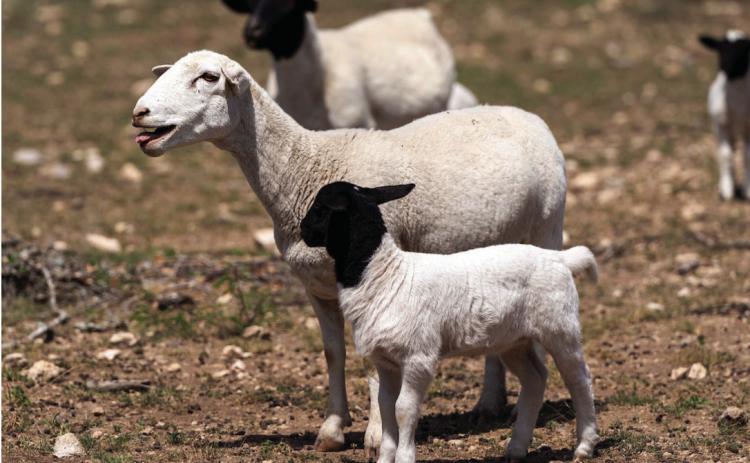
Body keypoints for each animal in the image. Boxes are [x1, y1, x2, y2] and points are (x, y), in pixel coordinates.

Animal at [131, 50, 567, 454]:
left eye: (208, 78)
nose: (139, 114)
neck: (305, 169)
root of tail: (528, 116)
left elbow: (371, 363)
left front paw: (376, 436)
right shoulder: (316, 287)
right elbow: (333, 353)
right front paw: (331, 431)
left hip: (548, 227)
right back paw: (488, 403)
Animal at [299, 181, 599, 463]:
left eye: (320, 208)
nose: (303, 231)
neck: (382, 274)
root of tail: (559, 258)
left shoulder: (418, 357)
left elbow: (403, 409)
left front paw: (405, 457)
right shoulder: (385, 361)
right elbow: (385, 408)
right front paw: (385, 457)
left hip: (560, 327)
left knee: (579, 379)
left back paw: (584, 446)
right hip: (514, 341)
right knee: (536, 379)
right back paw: (516, 449)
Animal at [698, 30, 750, 200]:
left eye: (743, 50)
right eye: (720, 49)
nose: (727, 68)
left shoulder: (748, 128)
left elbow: (747, 156)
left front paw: (748, 189)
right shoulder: (721, 125)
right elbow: (725, 154)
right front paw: (727, 189)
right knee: (727, 151)